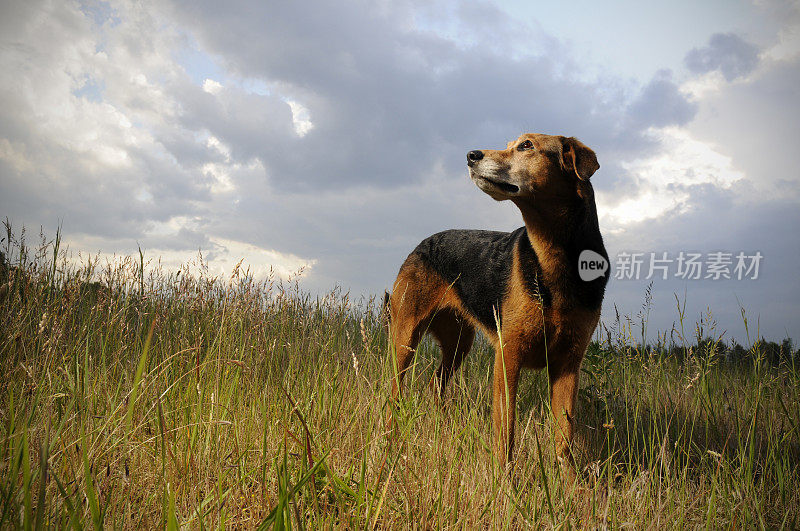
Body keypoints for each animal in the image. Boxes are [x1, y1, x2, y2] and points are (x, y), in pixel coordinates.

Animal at [386, 133, 608, 470]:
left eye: (527, 145)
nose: (470, 155)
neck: (554, 259)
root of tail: (422, 243)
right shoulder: (508, 357)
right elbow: (507, 433)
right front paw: (504, 479)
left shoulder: (569, 363)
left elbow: (564, 439)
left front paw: (568, 482)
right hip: (405, 336)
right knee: (395, 393)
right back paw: (389, 442)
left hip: (458, 344)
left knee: (436, 385)